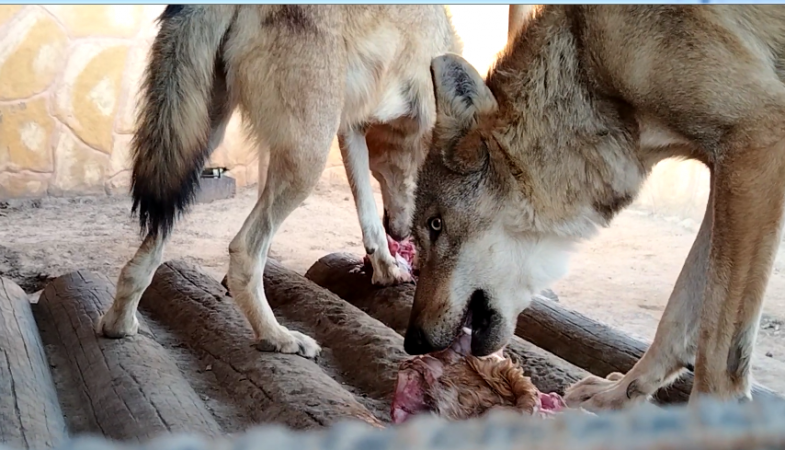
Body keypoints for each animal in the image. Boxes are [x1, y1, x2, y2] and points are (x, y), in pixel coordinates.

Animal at [97, 2, 462, 356]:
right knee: (244, 252)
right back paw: (276, 336)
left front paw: (386, 268)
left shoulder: (350, 128)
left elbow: (368, 216)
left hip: (198, 143)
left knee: (151, 242)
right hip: (307, 159)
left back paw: (119, 324)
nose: (397, 232)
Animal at [402, 4, 784, 412]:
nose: (412, 341)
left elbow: (717, 356)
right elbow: (676, 320)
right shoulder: (728, 168)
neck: (589, 61)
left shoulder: (756, 141)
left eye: (435, 225)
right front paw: (621, 392)